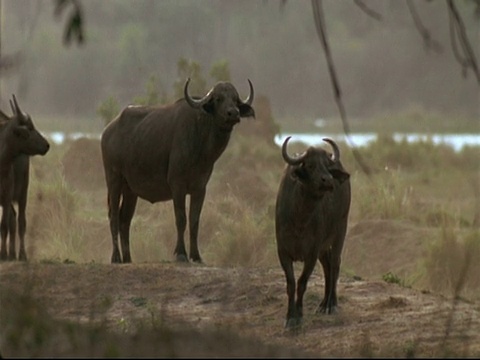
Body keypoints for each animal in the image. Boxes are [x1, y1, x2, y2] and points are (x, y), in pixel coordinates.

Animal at [0, 94, 50, 260]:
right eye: (28, 131)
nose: (47, 145)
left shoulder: (7, 195)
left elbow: (4, 225)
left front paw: (3, 254)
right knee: (13, 218)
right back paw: (12, 254)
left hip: (23, 193)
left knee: (20, 221)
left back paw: (20, 254)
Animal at [101, 77, 255, 262]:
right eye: (218, 99)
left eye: (235, 99)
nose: (233, 113)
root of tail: (107, 131)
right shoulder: (177, 185)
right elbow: (181, 219)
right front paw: (181, 253)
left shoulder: (200, 188)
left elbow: (194, 220)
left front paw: (196, 255)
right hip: (114, 180)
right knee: (114, 216)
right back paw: (116, 257)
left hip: (130, 190)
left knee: (125, 219)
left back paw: (128, 258)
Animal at [276, 137, 350, 330]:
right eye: (310, 165)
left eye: (327, 166)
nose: (328, 180)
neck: (300, 218)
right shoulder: (283, 252)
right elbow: (291, 283)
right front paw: (289, 316)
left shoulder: (311, 253)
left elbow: (302, 283)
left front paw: (298, 316)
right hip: (323, 247)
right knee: (327, 265)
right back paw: (323, 304)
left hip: (341, 229)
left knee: (335, 263)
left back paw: (332, 304)